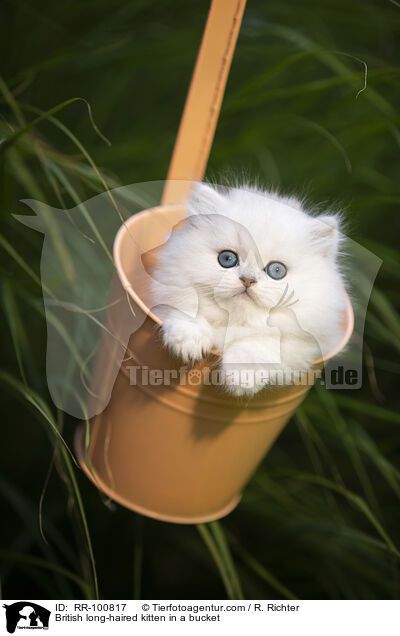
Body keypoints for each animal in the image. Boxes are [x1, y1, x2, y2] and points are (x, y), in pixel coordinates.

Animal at [150, 181, 346, 396]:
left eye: (277, 270)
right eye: (227, 258)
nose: (248, 280)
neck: (235, 322)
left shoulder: (304, 346)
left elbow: (261, 341)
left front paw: (243, 378)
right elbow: (187, 311)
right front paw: (188, 341)